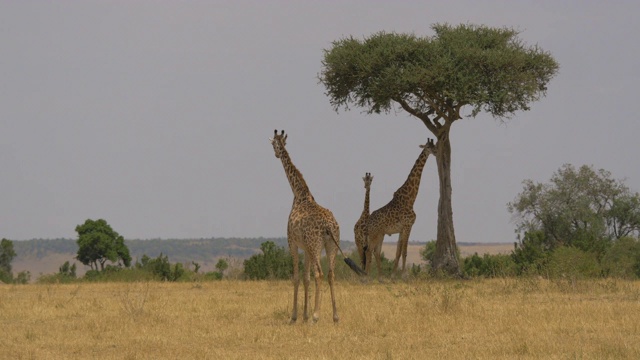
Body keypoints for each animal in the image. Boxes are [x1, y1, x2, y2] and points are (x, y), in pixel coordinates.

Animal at [268, 129, 342, 324]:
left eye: (273, 144)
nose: (276, 154)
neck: (299, 193)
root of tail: (329, 226)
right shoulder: (306, 248)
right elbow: (306, 278)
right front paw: (305, 315)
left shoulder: (292, 243)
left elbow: (296, 277)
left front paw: (295, 316)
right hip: (331, 245)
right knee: (331, 274)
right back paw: (335, 316)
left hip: (316, 244)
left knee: (320, 274)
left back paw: (317, 315)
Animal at [362, 139, 438, 280]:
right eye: (428, 147)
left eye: (434, 145)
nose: (436, 152)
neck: (410, 199)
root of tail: (368, 222)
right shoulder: (408, 226)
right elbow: (405, 251)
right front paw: (404, 275)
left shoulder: (402, 229)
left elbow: (398, 252)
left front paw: (393, 275)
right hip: (375, 234)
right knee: (369, 250)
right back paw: (366, 277)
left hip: (380, 234)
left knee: (375, 251)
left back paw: (378, 276)